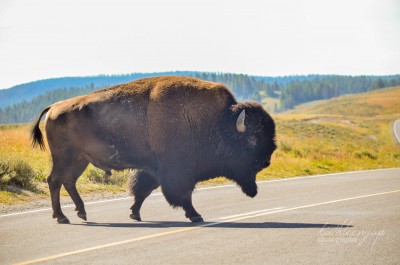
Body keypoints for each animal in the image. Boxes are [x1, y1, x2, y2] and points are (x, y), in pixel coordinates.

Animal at [31, 75, 276, 222]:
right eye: (252, 138)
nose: (266, 161)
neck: (218, 121)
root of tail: (53, 107)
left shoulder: (154, 168)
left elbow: (143, 190)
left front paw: (134, 214)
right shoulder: (176, 171)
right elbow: (182, 194)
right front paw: (196, 216)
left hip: (80, 160)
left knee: (68, 182)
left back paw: (81, 212)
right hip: (65, 158)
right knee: (55, 180)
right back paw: (62, 217)